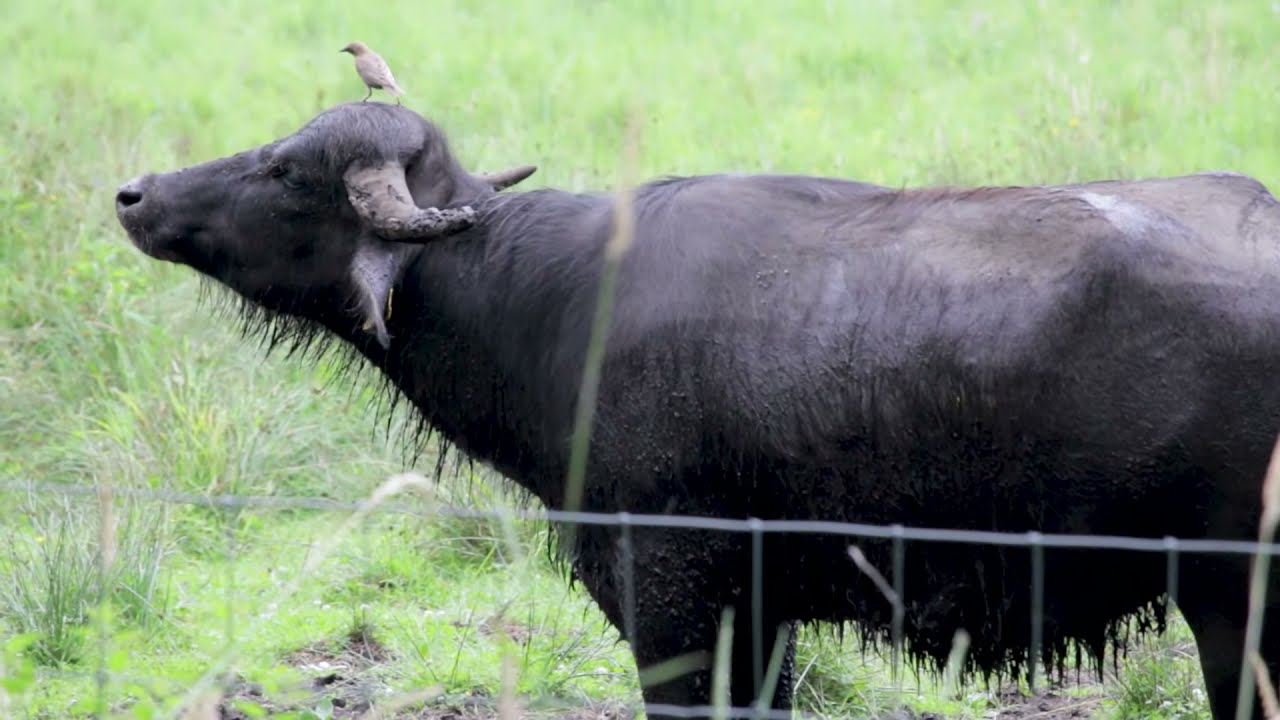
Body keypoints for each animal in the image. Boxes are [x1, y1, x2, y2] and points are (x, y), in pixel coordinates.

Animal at [114, 101, 1280, 720]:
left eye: (287, 170)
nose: (135, 194)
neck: (552, 297)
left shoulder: (672, 595)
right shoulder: (755, 614)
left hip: (1234, 603)